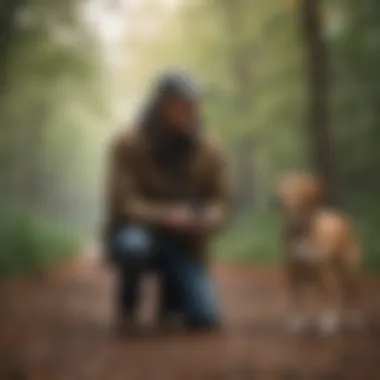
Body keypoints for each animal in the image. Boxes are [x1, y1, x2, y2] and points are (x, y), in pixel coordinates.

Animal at [276, 174, 362, 334]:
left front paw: (326, 323)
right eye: (287, 190)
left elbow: (324, 298)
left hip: (348, 268)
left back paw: (353, 318)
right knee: (338, 290)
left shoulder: (320, 270)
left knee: (352, 290)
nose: (283, 202)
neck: (300, 231)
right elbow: (296, 299)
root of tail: (341, 216)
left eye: (302, 192)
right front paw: (296, 322)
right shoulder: (293, 269)